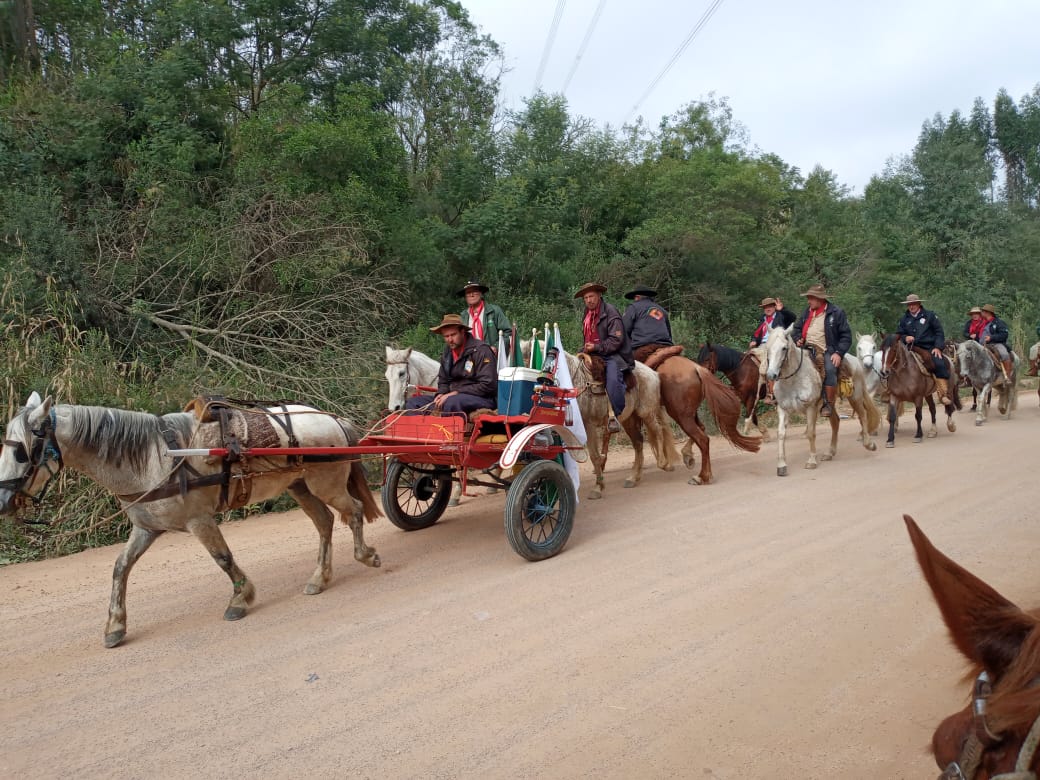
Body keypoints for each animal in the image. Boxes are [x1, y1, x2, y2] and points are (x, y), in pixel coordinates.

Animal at [0, 393, 382, 648]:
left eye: (22, 452)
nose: (3, 502)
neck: (152, 459)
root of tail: (331, 418)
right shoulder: (147, 528)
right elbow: (120, 568)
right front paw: (115, 625)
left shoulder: (199, 519)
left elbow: (223, 558)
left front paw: (240, 599)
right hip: (300, 486)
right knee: (324, 522)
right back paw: (320, 577)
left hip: (326, 482)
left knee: (353, 512)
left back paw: (365, 555)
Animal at [657, 357, 765, 486]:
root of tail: (697, 368)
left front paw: (663, 464)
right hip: (688, 412)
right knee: (701, 429)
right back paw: (690, 459)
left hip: (679, 414)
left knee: (702, 439)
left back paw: (701, 477)